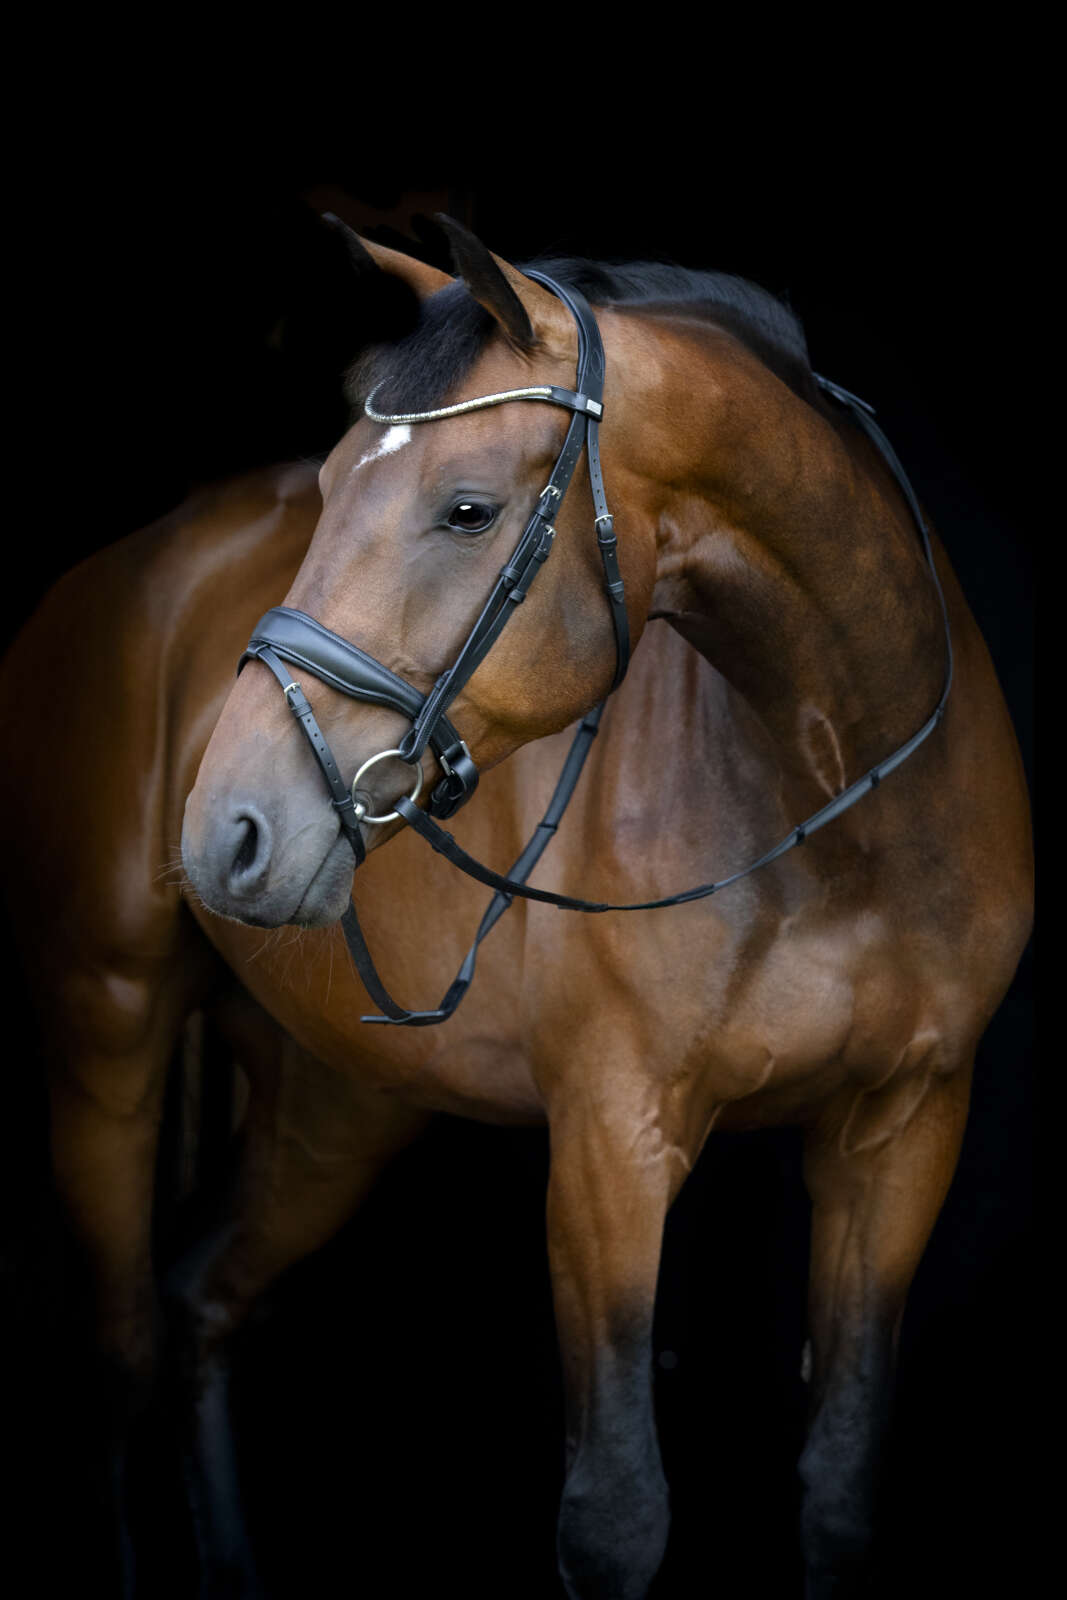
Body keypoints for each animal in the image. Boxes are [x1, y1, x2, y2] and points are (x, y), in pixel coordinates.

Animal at [0, 215, 1032, 1599]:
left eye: (467, 508)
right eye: (328, 481)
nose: (227, 832)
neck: (836, 804)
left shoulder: (902, 1132)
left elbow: (836, 1487)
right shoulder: (610, 1140)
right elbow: (615, 1514)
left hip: (339, 1100)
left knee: (202, 1293)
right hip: (105, 1027)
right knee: (115, 1355)